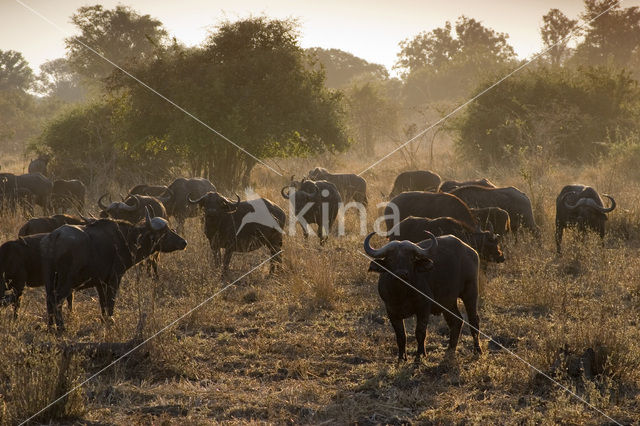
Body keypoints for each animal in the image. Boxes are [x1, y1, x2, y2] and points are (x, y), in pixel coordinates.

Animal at [41, 211, 186, 332]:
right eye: (165, 232)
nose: (183, 242)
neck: (126, 239)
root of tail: (55, 236)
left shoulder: (100, 282)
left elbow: (103, 302)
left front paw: (104, 319)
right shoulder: (115, 278)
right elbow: (111, 300)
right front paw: (110, 321)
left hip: (50, 280)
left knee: (49, 300)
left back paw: (50, 327)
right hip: (66, 282)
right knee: (57, 300)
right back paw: (61, 327)